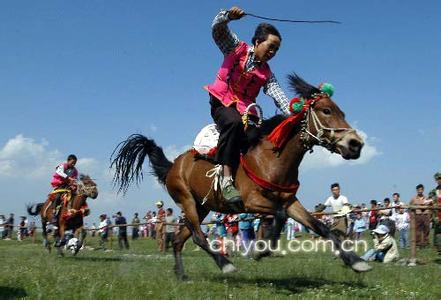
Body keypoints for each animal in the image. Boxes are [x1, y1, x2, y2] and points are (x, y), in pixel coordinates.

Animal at [111, 74, 372, 280]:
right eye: (326, 110)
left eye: (341, 112)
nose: (355, 144)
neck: (271, 158)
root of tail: (173, 165)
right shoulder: (252, 201)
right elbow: (277, 215)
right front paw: (261, 249)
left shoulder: (290, 201)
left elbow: (321, 227)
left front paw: (356, 261)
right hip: (186, 200)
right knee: (198, 238)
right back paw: (225, 265)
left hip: (202, 206)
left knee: (178, 239)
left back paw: (182, 274)